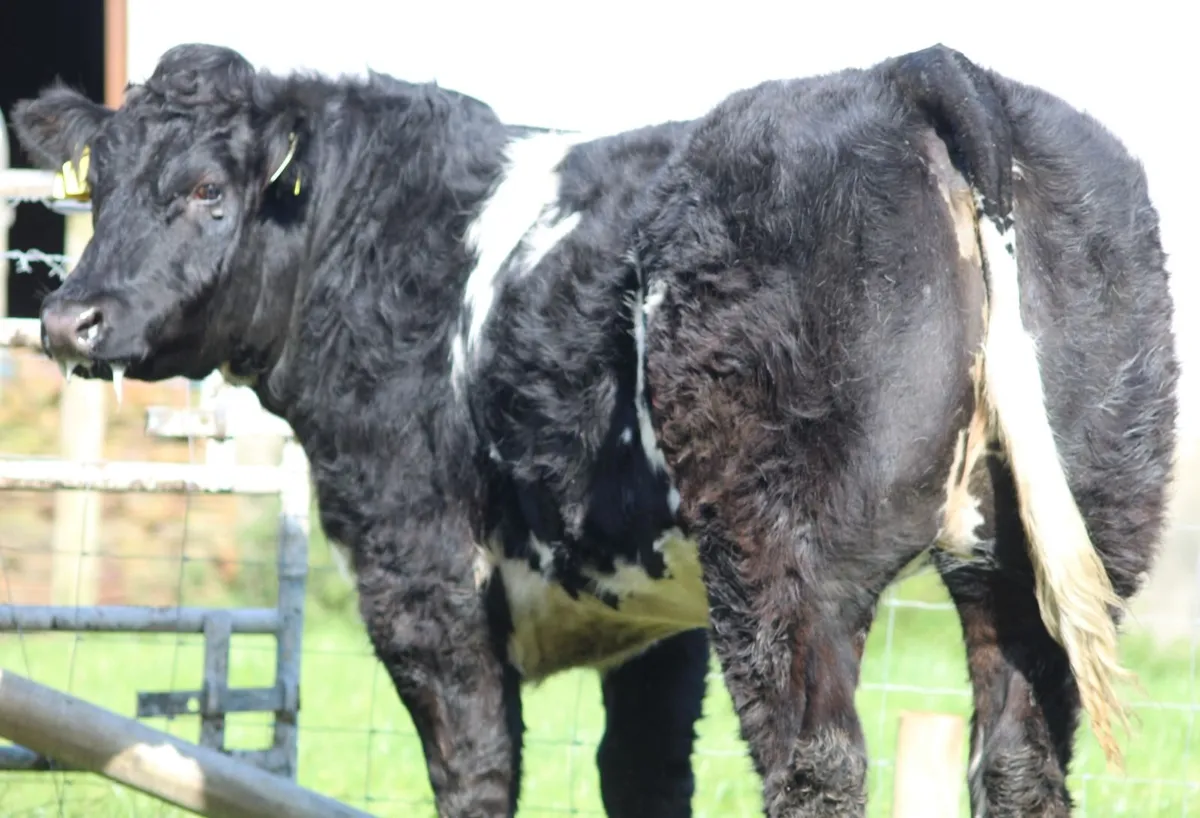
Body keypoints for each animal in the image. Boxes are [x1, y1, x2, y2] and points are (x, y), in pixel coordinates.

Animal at [13, 40, 1177, 818]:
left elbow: (477, 767)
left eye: (208, 189)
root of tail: (917, 69)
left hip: (783, 552)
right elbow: (643, 773)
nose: (70, 317)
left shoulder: (417, 565)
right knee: (1020, 760)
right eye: (97, 184)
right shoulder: (652, 612)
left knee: (817, 760)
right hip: (1061, 536)